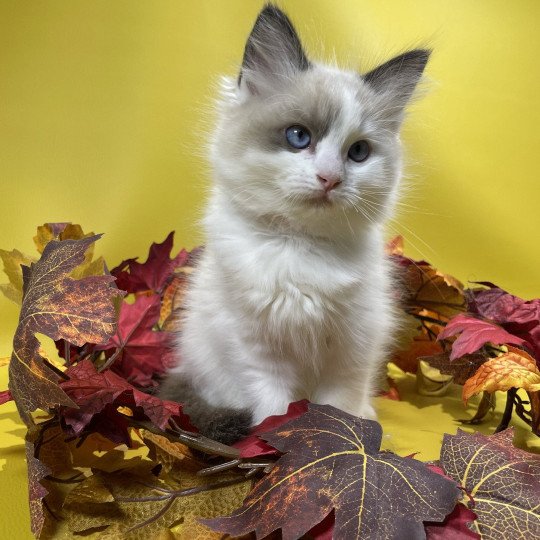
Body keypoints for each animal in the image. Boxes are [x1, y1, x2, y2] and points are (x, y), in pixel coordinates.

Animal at [158, 4, 428, 442]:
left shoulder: (353, 344)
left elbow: (338, 409)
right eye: (298, 136)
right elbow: (275, 408)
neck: (300, 247)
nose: (330, 178)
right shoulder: (257, 348)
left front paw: (342, 443)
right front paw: (276, 443)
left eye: (358, 152)